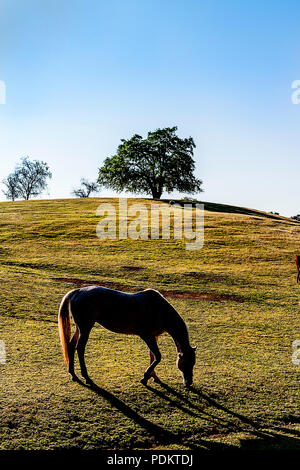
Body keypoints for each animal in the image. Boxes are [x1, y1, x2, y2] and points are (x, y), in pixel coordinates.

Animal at [58, 284, 197, 388]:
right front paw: (145, 377)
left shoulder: (153, 337)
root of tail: (78, 291)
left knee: (71, 346)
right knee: (80, 348)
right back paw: (86, 377)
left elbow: (152, 356)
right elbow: (157, 357)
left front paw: (153, 376)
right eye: (187, 363)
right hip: (85, 328)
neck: (159, 310)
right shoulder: (147, 336)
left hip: (80, 328)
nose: (189, 382)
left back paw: (73, 375)